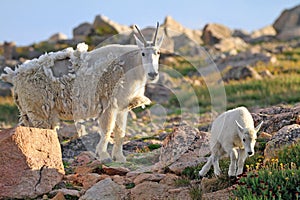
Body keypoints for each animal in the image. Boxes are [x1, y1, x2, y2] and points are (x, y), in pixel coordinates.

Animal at [1, 23, 164, 162]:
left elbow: (120, 132)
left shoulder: (122, 107)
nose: (153, 74)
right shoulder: (109, 104)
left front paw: (120, 158)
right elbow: (107, 129)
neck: (130, 65)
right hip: (39, 111)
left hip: (27, 111)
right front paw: (103, 155)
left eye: (158, 52)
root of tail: (14, 75)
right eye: (143, 53)